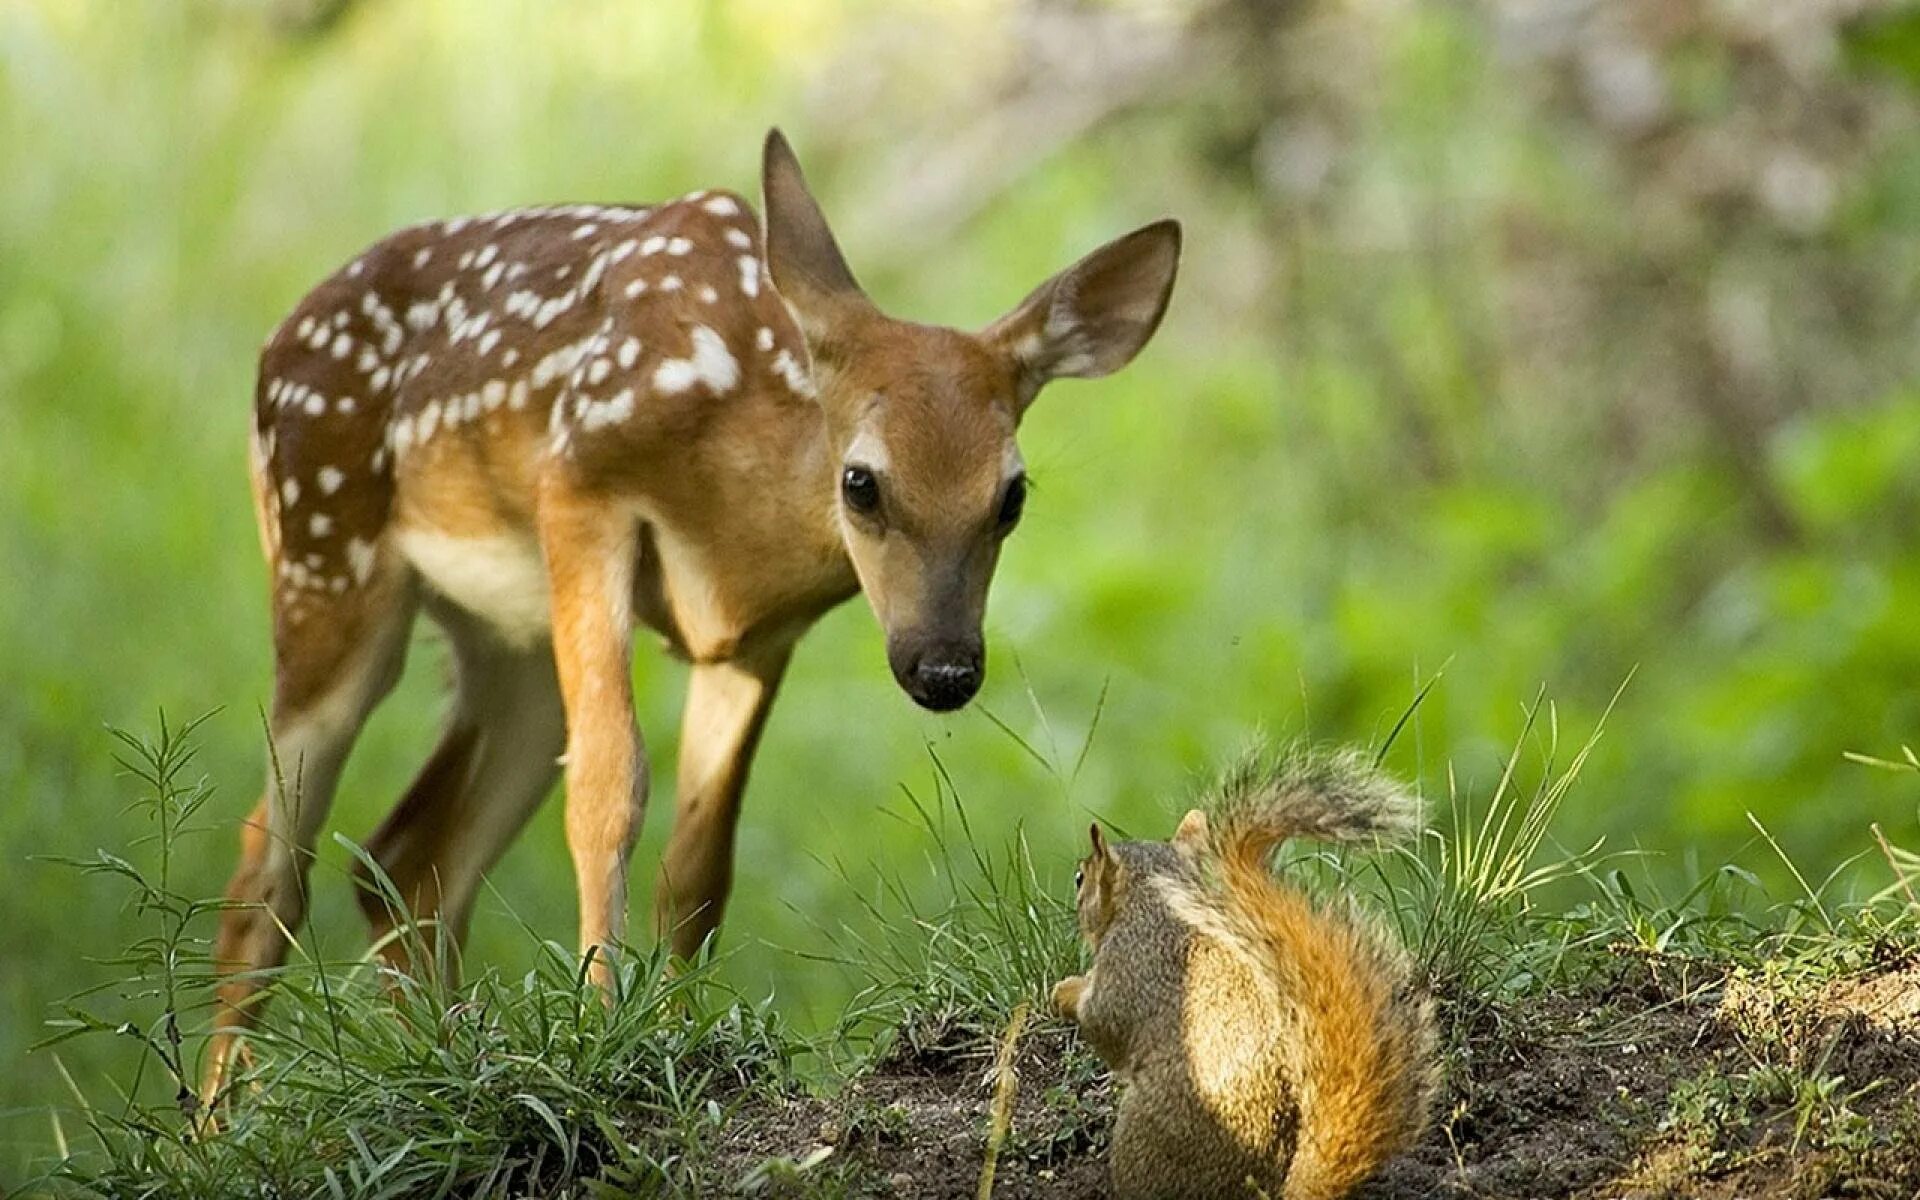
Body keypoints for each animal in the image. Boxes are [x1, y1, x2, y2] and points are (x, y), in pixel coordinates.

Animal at [1052, 744, 1443, 1190]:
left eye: (1080, 878)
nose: (1074, 898)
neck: (1156, 897)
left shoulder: (1130, 962)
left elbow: (1104, 1022)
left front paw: (1066, 992)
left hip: (1146, 1140)